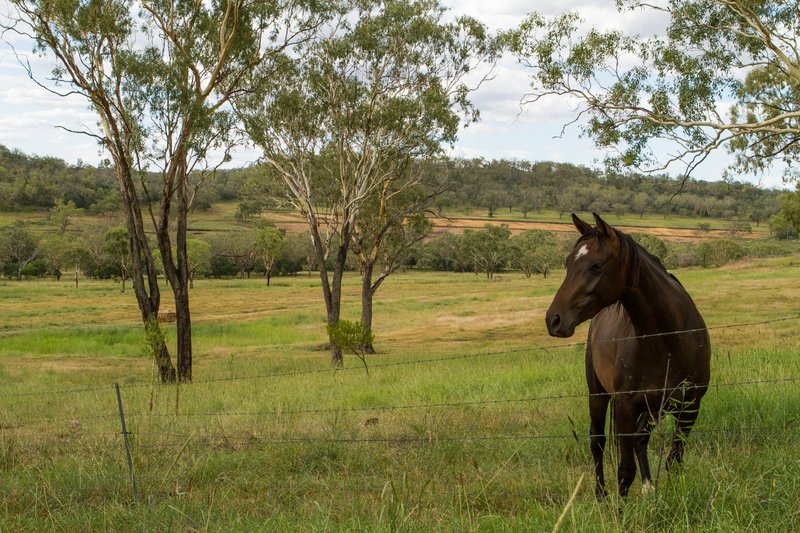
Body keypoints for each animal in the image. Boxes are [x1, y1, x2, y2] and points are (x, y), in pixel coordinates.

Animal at [548, 213, 708, 498]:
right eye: (567, 263)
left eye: (596, 265)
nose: (553, 320)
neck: (668, 338)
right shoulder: (625, 405)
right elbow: (625, 471)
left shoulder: (689, 406)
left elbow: (674, 460)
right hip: (598, 395)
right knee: (598, 441)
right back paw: (601, 494)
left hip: (653, 408)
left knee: (640, 439)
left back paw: (648, 487)